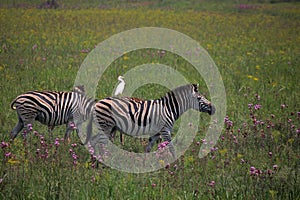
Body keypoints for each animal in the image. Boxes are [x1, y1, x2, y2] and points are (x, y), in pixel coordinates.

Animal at [85, 83, 214, 157]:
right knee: (100, 144)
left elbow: (148, 149)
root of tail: (97, 103)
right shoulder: (165, 130)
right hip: (105, 126)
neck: (169, 108)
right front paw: (175, 165)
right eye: (199, 98)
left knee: (94, 141)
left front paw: (145, 165)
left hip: (109, 128)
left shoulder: (156, 133)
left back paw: (97, 161)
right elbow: (171, 148)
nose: (213, 108)